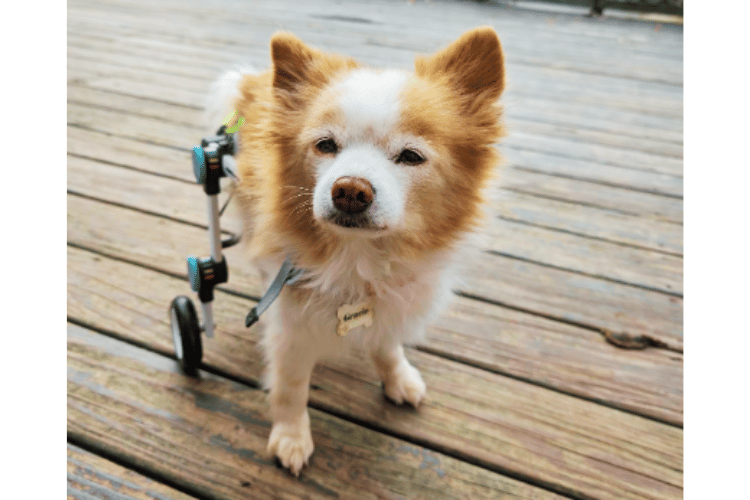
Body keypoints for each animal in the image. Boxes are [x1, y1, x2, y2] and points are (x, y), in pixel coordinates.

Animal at [209, 27, 508, 476]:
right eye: (325, 145)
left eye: (411, 156)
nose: (350, 190)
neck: (359, 258)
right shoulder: (291, 326)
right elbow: (291, 387)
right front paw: (291, 437)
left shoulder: (389, 304)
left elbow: (387, 345)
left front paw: (397, 377)